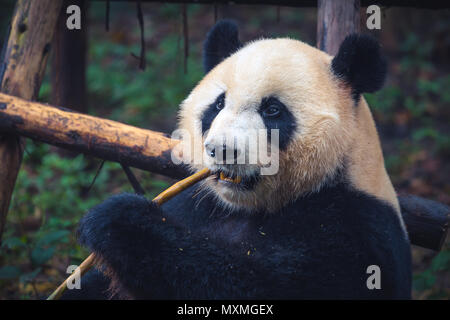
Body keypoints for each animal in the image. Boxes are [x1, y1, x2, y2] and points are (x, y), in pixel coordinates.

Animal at [62, 20, 412, 300]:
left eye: (273, 110)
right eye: (218, 105)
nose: (222, 150)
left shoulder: (353, 230)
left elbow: (257, 284)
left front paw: (118, 220)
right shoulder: (197, 205)